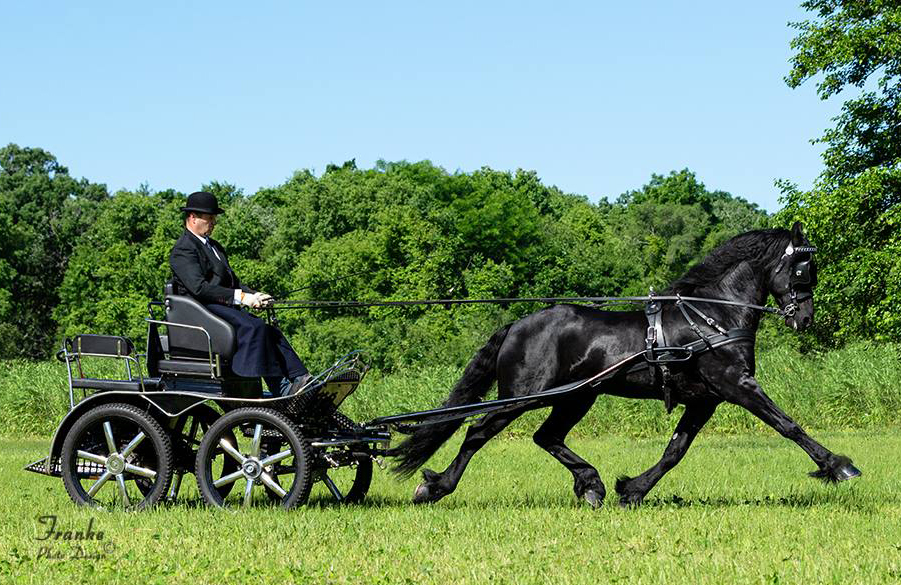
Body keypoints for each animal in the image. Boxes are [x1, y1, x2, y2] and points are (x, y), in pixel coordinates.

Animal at [390, 222, 861, 507]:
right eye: (802, 268)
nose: (805, 318)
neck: (712, 315)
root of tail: (518, 324)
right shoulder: (736, 385)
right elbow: (787, 424)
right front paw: (838, 466)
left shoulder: (705, 400)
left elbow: (675, 451)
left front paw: (631, 490)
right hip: (524, 396)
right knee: (477, 432)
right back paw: (435, 486)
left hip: (576, 397)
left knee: (546, 437)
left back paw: (591, 484)